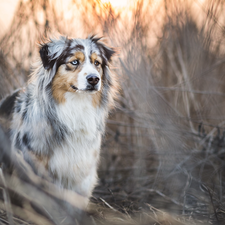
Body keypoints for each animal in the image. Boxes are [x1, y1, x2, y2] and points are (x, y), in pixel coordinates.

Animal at [8, 34, 117, 202]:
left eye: (97, 63)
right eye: (74, 62)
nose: (94, 79)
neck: (75, 106)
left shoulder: (81, 172)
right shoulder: (33, 164)